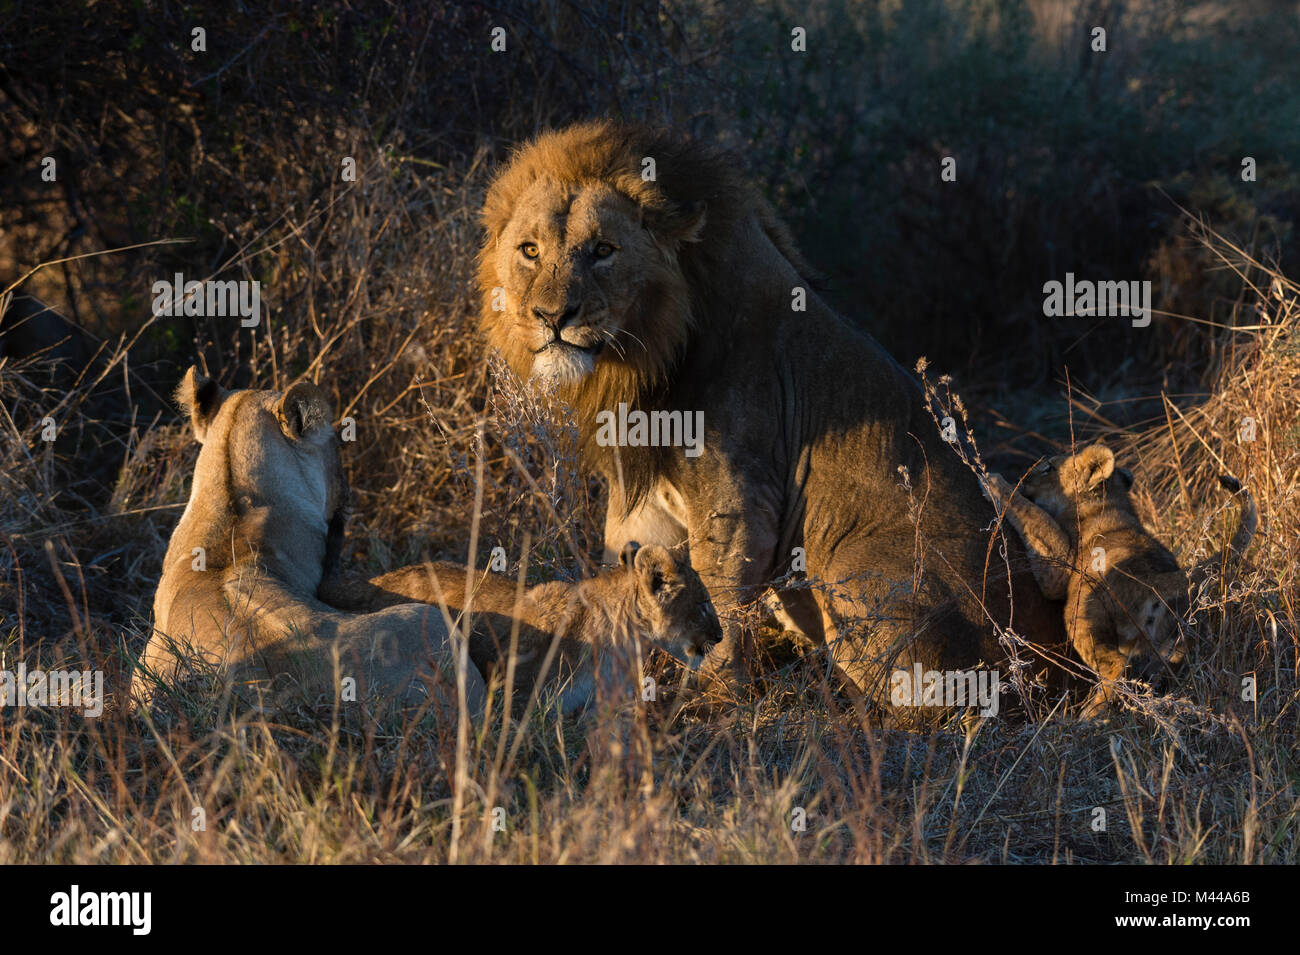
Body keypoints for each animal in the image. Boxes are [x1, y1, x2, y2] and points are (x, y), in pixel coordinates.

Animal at [475, 119, 1066, 722]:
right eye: (529, 251)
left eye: (603, 251)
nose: (550, 316)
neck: (647, 357)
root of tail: (1052, 667)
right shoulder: (641, 505)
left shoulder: (739, 500)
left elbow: (721, 596)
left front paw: (712, 699)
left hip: (853, 567)